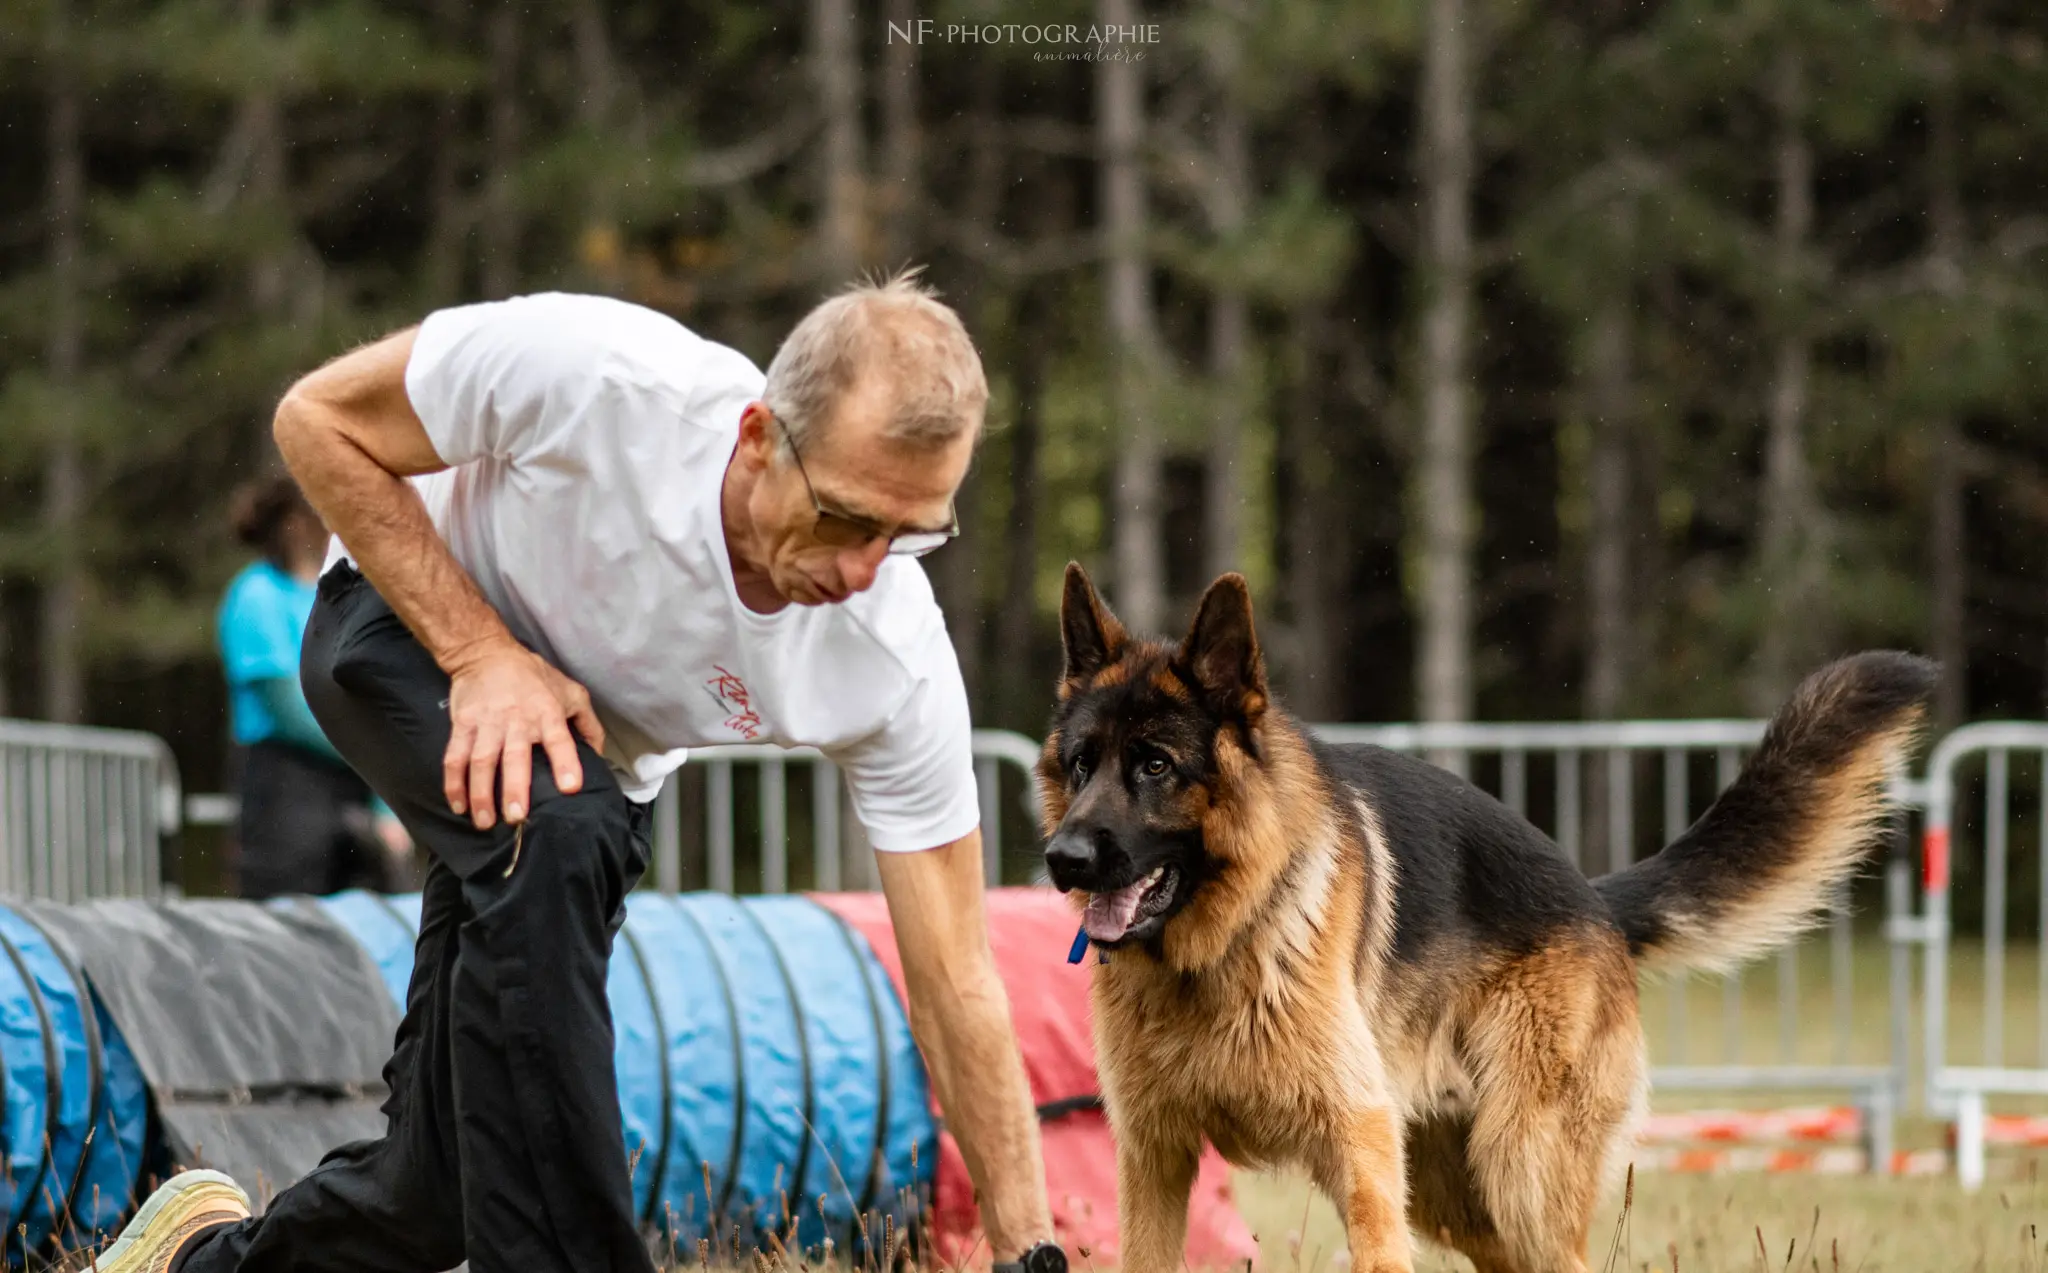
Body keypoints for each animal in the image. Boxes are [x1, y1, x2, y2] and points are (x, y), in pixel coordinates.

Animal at [1040, 568, 1933, 1273]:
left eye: (1156, 765)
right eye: (1082, 764)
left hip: (1521, 1179)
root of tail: (1594, 899)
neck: (1215, 950)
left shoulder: (1360, 1147)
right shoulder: (1154, 1163)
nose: (1063, 858)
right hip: (1459, 1195)